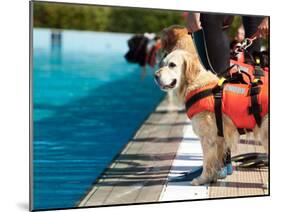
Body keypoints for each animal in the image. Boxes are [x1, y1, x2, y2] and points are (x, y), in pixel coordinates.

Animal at [154, 48, 268, 185]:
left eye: (172, 65)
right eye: (163, 63)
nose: (155, 76)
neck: (194, 83)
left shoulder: (208, 137)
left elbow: (207, 161)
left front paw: (202, 179)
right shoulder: (220, 138)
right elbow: (217, 160)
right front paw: (215, 176)